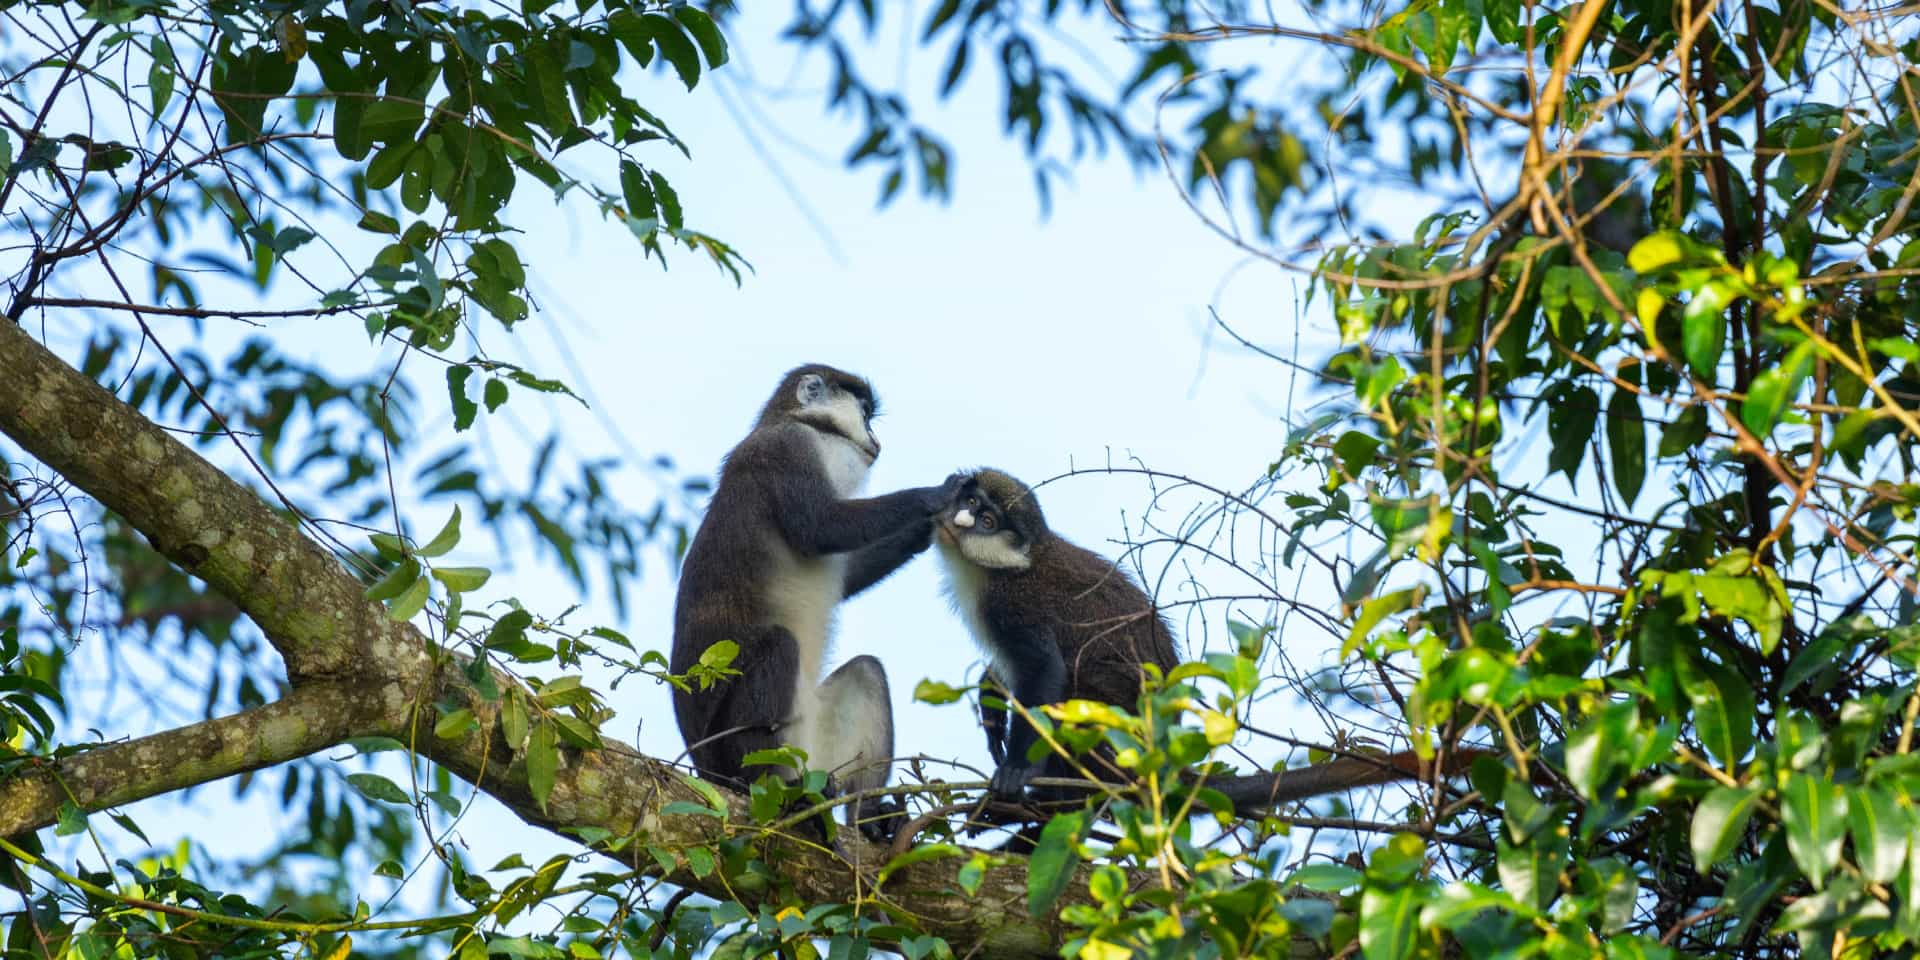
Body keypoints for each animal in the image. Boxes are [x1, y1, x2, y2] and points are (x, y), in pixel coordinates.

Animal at [670, 364, 962, 842]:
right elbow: (820, 527)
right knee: (779, 646)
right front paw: (937, 496)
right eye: (865, 411)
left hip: (818, 753)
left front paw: (927, 530)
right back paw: (775, 792)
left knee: (867, 672)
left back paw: (869, 817)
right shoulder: (784, 450)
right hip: (727, 751)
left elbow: (846, 574)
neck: (812, 429)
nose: (876, 438)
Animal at [932, 468, 1492, 827]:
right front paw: (989, 707)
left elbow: (1044, 670)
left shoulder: (1013, 606)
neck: (990, 568)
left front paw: (1014, 772)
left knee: (1079, 693)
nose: (961, 519)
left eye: (987, 521)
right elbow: (1004, 673)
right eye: (971, 503)